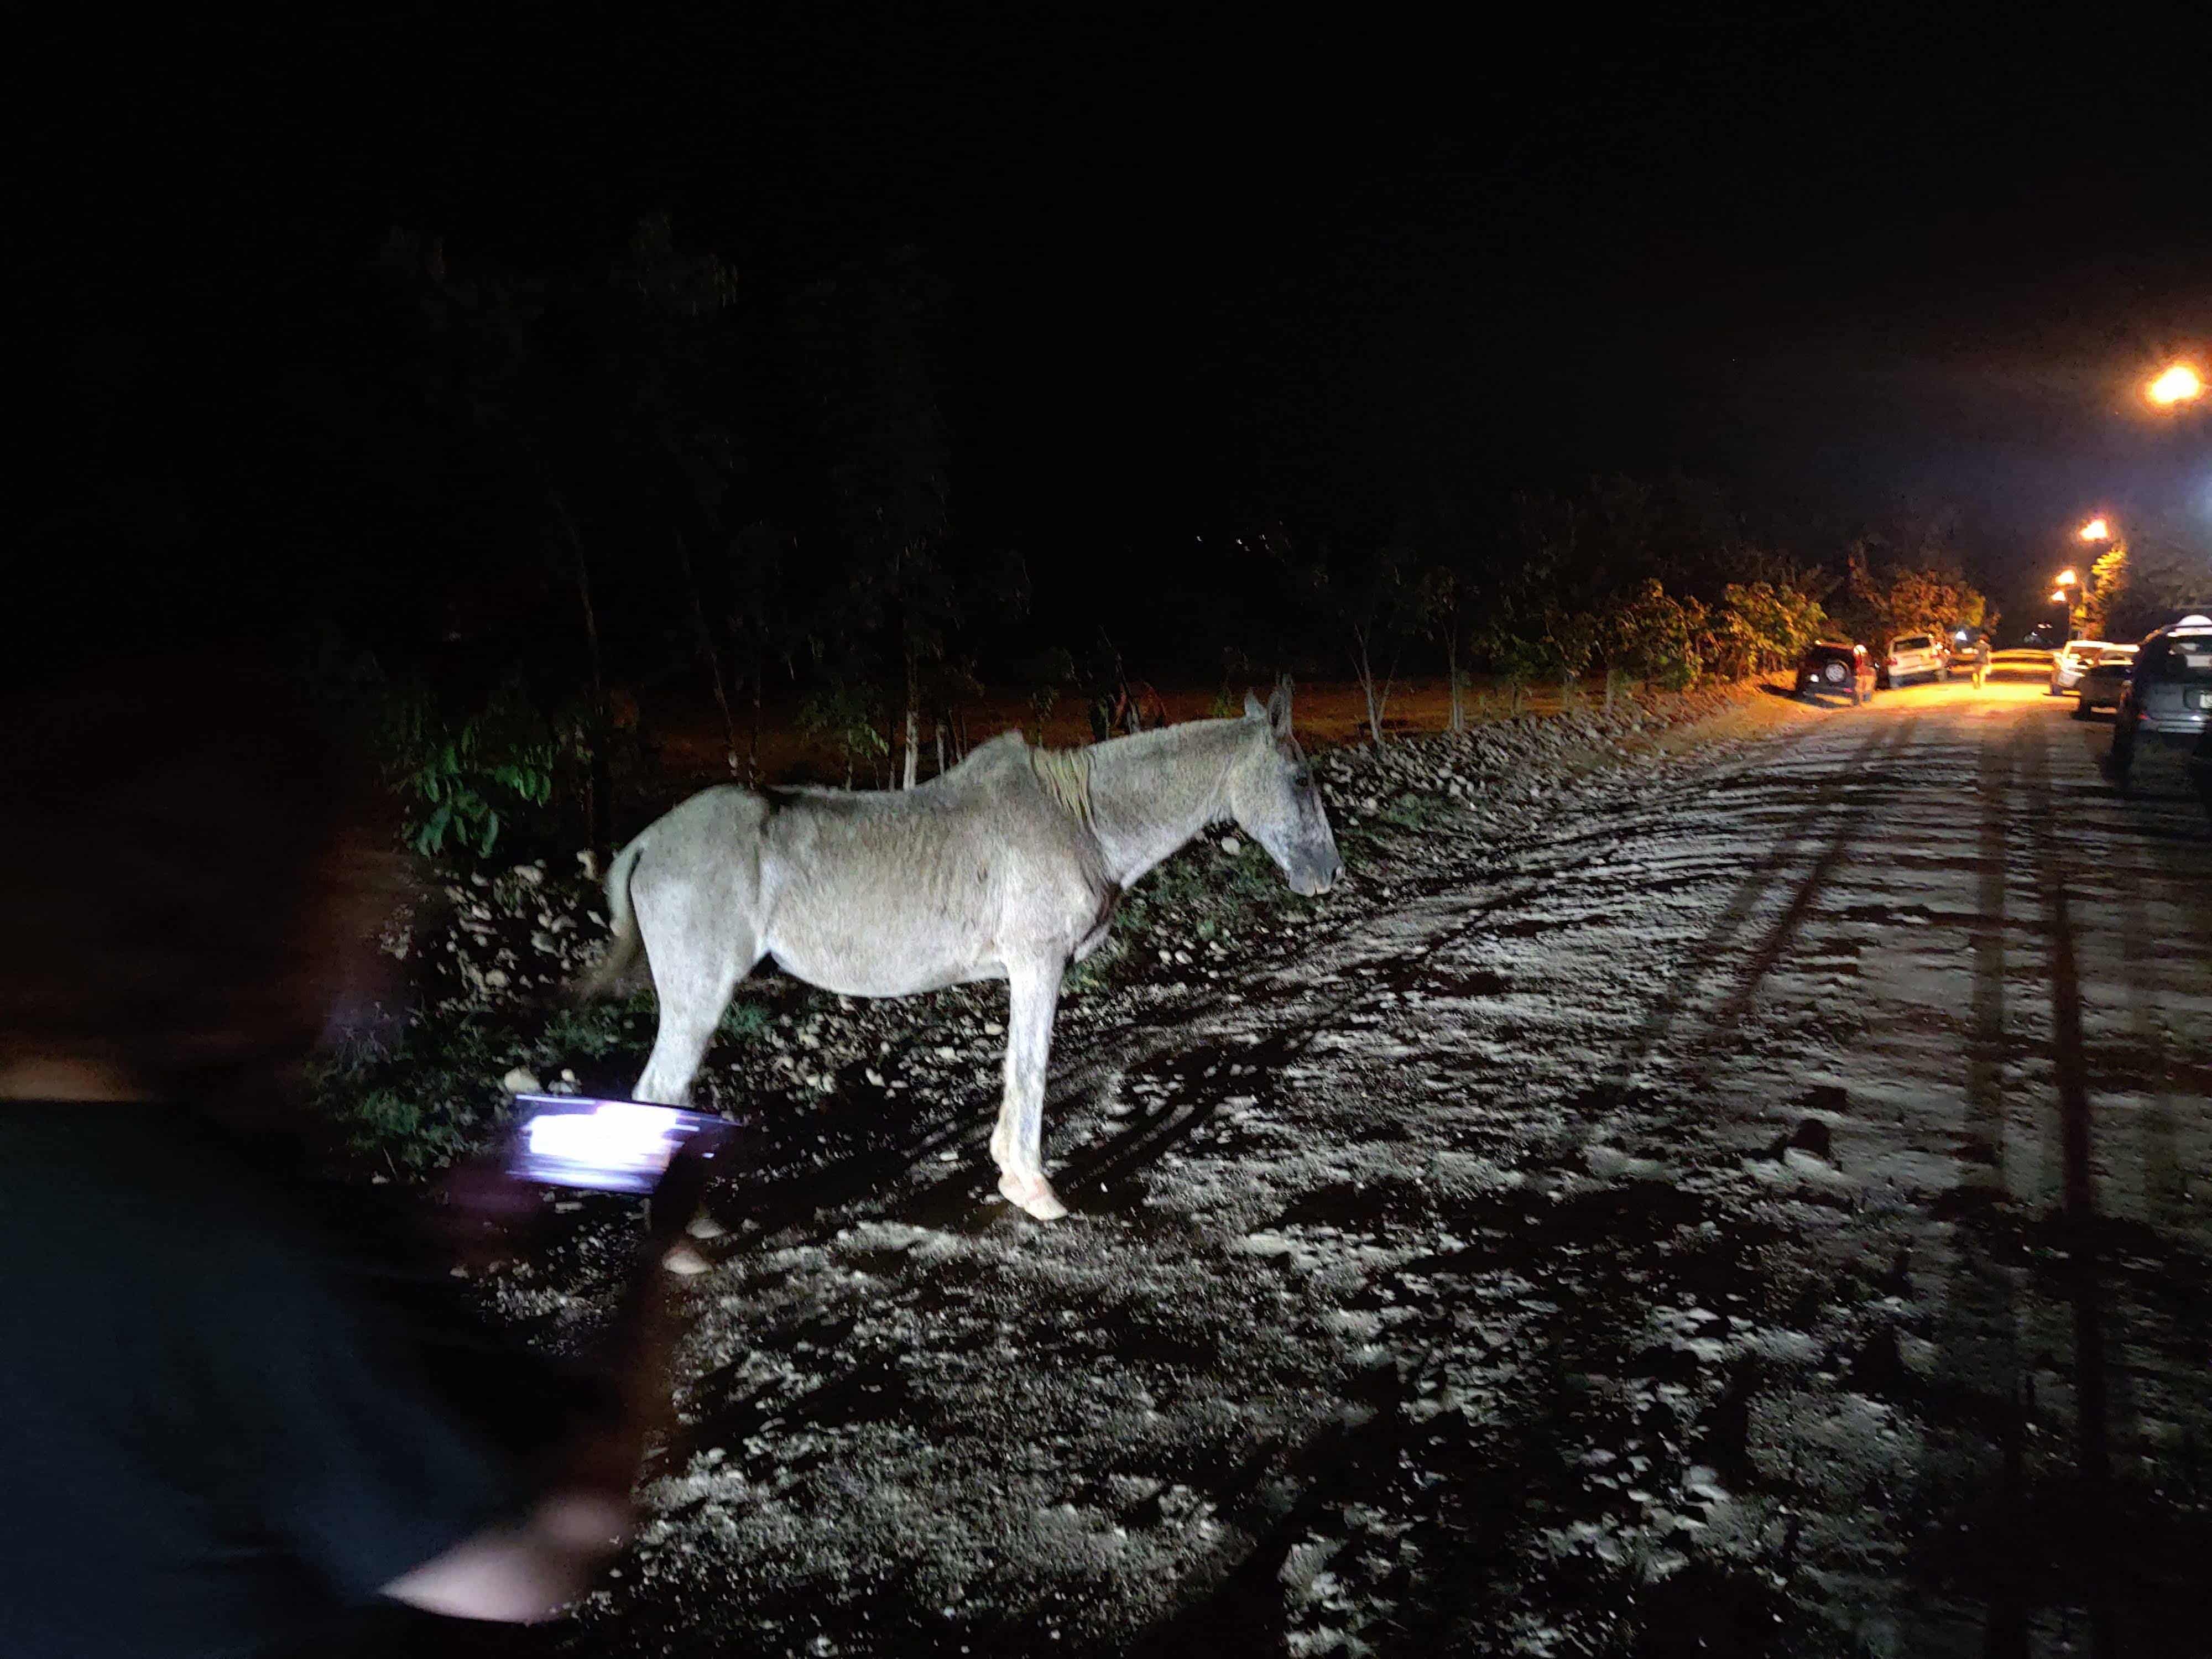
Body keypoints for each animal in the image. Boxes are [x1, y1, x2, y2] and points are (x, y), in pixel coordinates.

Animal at [572, 679, 1342, 1220]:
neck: (1078, 819)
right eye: (1301, 779)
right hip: (698, 999)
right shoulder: (1038, 965)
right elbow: (1031, 1069)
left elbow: (1017, 1069)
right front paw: (1033, 1188)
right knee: (661, 1095)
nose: (1330, 873)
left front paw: (1010, 1172)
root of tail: (647, 841)